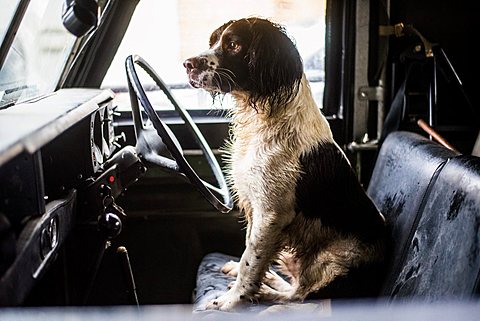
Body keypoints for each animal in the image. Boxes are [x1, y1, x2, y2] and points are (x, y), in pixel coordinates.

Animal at [184, 17, 386, 310]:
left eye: (234, 45)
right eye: (213, 42)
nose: (187, 64)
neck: (264, 119)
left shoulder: (272, 213)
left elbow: (251, 261)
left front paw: (232, 301)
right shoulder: (255, 207)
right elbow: (250, 254)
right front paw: (246, 283)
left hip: (331, 261)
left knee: (300, 296)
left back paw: (267, 293)